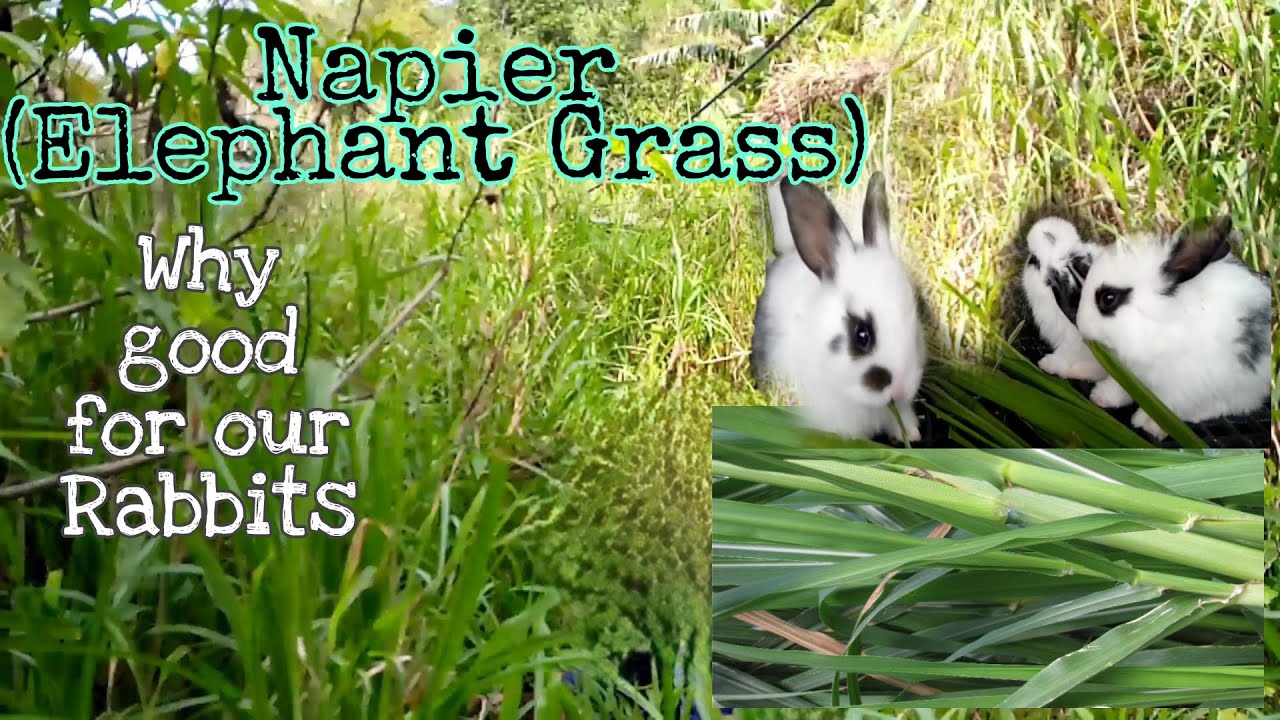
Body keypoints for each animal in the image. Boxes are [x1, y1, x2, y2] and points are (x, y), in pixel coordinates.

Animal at [1072, 214, 1271, 440]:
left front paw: (1146, 424)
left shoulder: (1179, 389)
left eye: (1108, 299)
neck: (1158, 327)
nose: (1080, 324)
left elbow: (1168, 408)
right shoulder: (1129, 374)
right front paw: (1100, 397)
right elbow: (1118, 388)